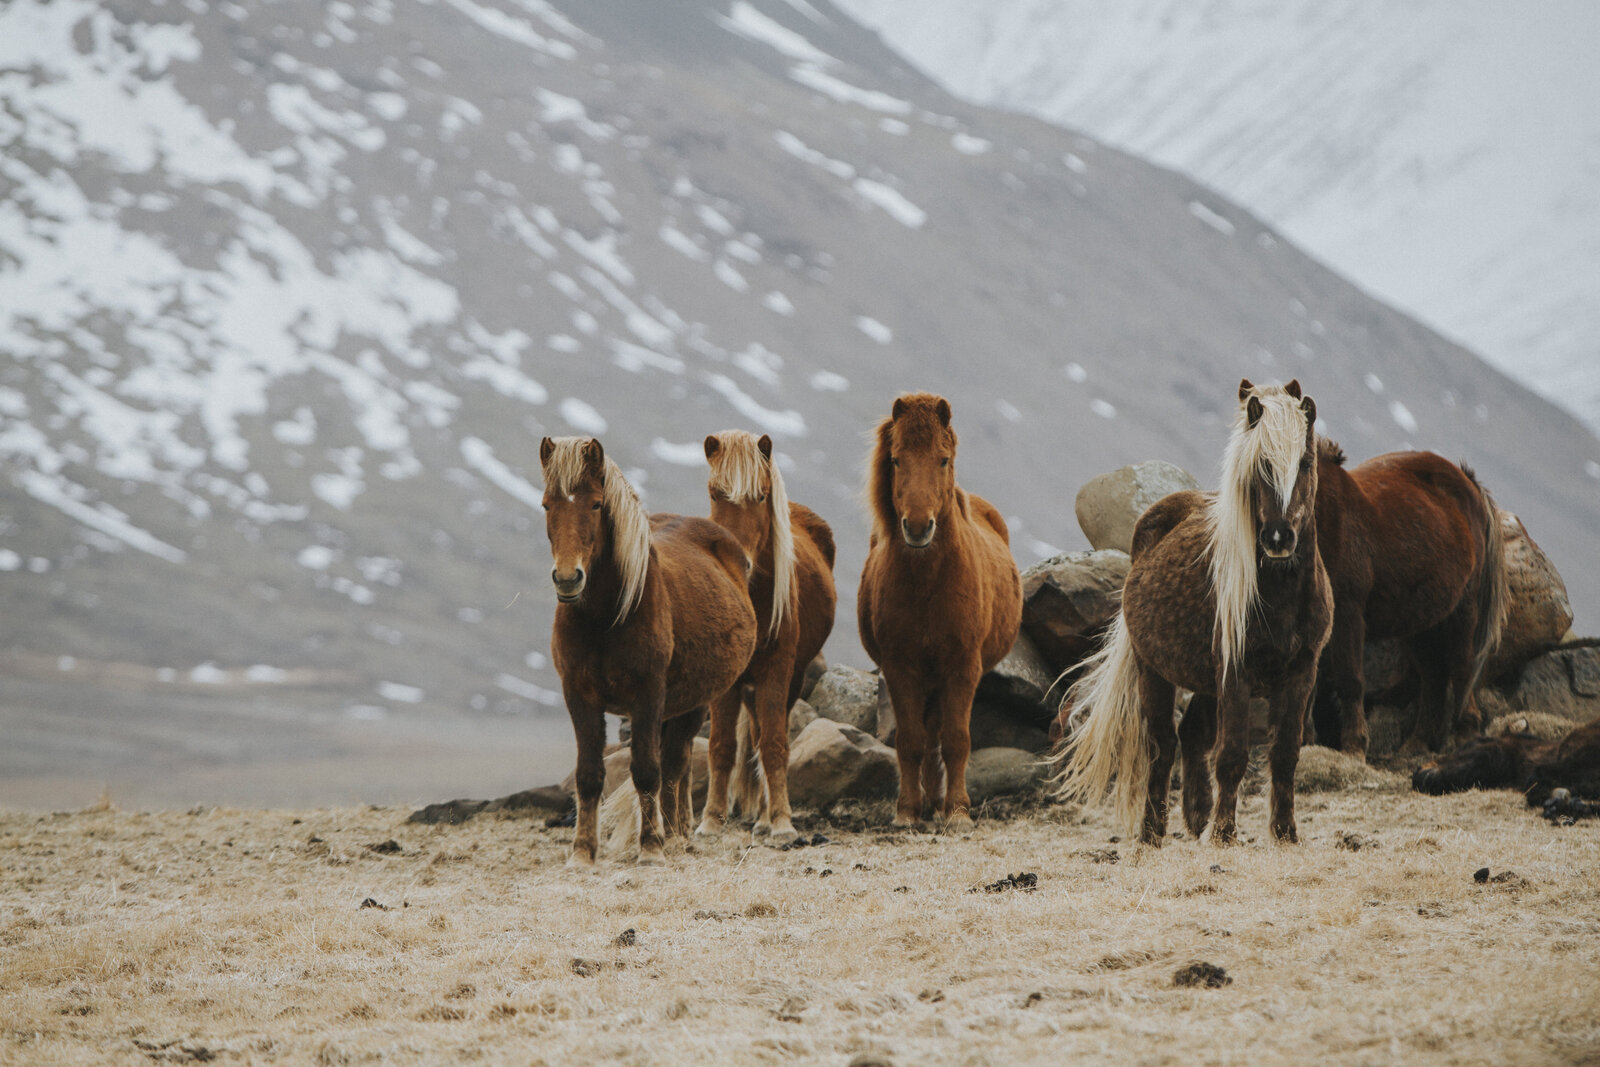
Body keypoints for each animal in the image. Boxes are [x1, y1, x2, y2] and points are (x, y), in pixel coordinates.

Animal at [540, 438, 758, 863]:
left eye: (596, 504)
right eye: (545, 505)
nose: (568, 578)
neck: (605, 618)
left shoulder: (648, 694)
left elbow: (646, 771)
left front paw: (651, 847)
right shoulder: (578, 694)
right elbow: (588, 775)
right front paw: (582, 853)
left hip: (694, 701)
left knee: (674, 765)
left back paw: (672, 836)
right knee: (676, 767)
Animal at [694, 428, 838, 844]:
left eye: (761, 495)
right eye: (715, 493)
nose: (736, 561)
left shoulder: (777, 670)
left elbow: (774, 745)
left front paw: (782, 822)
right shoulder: (728, 680)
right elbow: (722, 746)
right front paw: (710, 820)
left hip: (791, 678)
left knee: (764, 736)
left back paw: (763, 817)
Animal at [857, 395, 1017, 831]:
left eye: (943, 459)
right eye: (896, 460)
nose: (916, 527)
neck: (929, 583)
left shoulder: (962, 668)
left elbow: (957, 741)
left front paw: (958, 812)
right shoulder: (900, 668)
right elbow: (910, 742)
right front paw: (907, 812)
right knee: (926, 741)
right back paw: (928, 803)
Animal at [1049, 379, 1337, 844]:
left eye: (1306, 462)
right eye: (1260, 467)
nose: (1278, 539)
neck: (1281, 595)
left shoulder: (1301, 673)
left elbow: (1285, 755)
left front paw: (1284, 834)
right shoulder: (1235, 673)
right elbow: (1233, 755)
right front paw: (1224, 835)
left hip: (1204, 679)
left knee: (1190, 736)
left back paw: (1196, 815)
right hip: (1155, 671)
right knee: (1163, 745)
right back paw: (1153, 831)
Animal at [1305, 441, 1504, 758]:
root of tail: (1468, 481)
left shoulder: (1349, 612)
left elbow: (1350, 679)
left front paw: (1354, 747)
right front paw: (1305, 740)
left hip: (1463, 611)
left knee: (1462, 669)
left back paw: (1466, 736)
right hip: (1422, 624)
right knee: (1434, 678)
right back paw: (1415, 745)